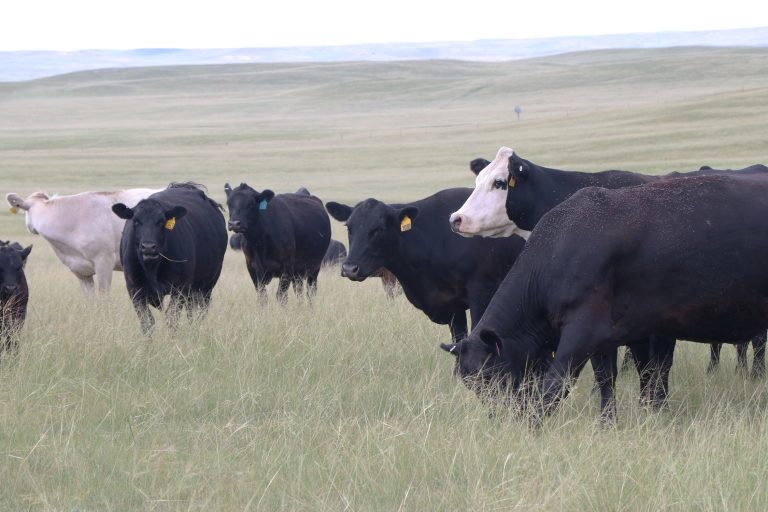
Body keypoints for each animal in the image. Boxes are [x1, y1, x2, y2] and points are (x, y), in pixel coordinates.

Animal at [112, 183, 227, 335]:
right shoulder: (134, 289)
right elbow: (147, 322)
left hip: (207, 285)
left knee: (199, 313)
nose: (148, 247)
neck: (152, 269)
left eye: (161, 222)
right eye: (136, 221)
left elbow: (172, 319)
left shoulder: (179, 289)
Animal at [441, 174, 768, 425]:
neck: (561, 249)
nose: (499, 418)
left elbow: (555, 384)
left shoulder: (582, 331)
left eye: (490, 376)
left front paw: (533, 426)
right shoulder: (609, 336)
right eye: (470, 383)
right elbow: (608, 380)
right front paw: (609, 422)